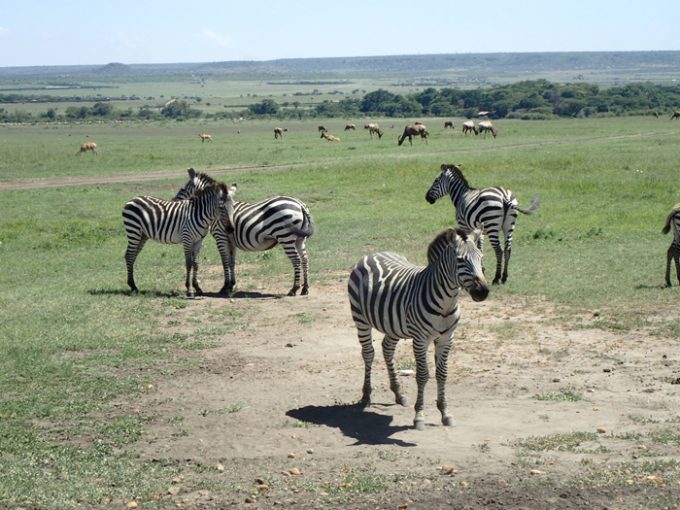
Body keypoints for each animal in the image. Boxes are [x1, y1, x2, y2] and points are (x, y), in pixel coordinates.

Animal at [174, 168, 314, 294]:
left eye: (182, 189)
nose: (174, 201)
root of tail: (300, 204)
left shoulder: (220, 237)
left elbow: (225, 261)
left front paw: (225, 287)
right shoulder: (230, 240)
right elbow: (232, 262)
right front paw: (232, 285)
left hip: (285, 237)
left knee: (296, 260)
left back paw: (294, 289)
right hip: (299, 239)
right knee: (305, 259)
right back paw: (305, 288)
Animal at [350, 227, 488, 430]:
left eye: (481, 257)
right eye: (460, 260)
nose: (483, 292)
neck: (446, 304)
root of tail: (374, 254)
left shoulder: (447, 338)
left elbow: (442, 374)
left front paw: (445, 413)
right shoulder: (420, 339)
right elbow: (423, 375)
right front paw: (419, 416)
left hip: (393, 324)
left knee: (387, 349)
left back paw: (398, 394)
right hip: (360, 318)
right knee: (368, 353)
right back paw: (366, 395)